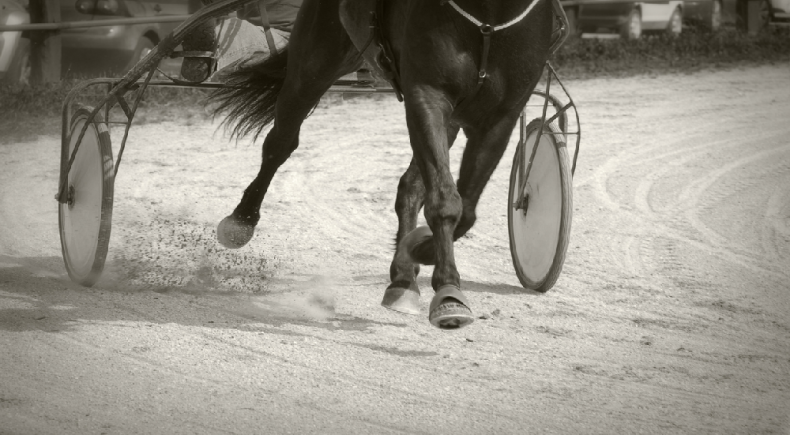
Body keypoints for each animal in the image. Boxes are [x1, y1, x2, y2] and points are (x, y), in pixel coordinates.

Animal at [212, 0, 556, 330]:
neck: (490, 17)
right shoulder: (426, 95)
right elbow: (445, 203)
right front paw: (447, 290)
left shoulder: (500, 116)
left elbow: (465, 210)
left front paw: (420, 251)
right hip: (315, 61)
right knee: (280, 142)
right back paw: (242, 219)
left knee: (411, 186)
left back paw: (404, 277)